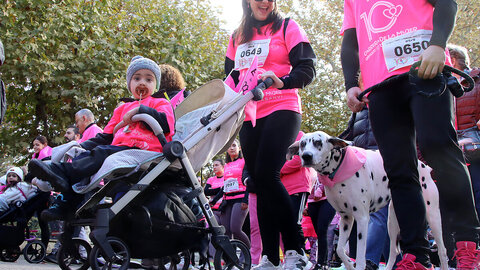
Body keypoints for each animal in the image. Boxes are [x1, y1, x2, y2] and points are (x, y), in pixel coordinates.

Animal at [286, 131, 448, 270]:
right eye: (302, 144)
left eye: (318, 142)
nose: (306, 156)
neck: (338, 168)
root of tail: (423, 166)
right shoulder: (346, 219)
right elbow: (340, 250)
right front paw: (350, 265)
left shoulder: (362, 219)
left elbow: (360, 255)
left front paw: (357, 265)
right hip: (392, 223)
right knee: (394, 252)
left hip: (433, 217)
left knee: (442, 250)